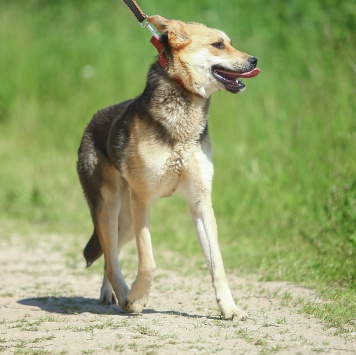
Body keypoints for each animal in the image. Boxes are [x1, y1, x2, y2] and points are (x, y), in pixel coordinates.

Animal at [76, 13, 258, 322]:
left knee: (110, 256)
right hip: (109, 208)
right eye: (218, 44)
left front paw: (229, 308)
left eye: (231, 42)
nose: (255, 60)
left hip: (124, 221)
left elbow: (217, 264)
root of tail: (91, 123)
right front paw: (137, 299)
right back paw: (125, 297)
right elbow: (148, 262)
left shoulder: (200, 202)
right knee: (111, 260)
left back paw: (109, 294)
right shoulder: (142, 200)